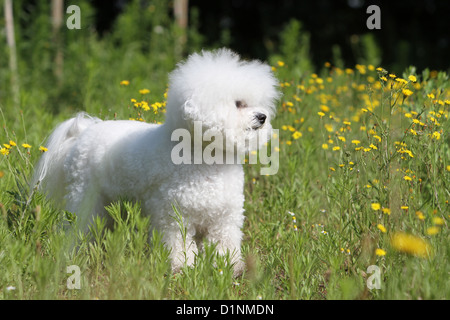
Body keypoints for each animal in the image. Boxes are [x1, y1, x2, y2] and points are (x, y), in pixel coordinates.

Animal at [31, 48, 280, 276]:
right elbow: (179, 246)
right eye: (238, 103)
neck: (204, 155)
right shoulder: (174, 216)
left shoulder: (224, 218)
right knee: (77, 227)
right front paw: (182, 269)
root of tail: (83, 132)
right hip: (85, 198)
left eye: (258, 104)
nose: (262, 117)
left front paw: (231, 268)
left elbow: (225, 244)